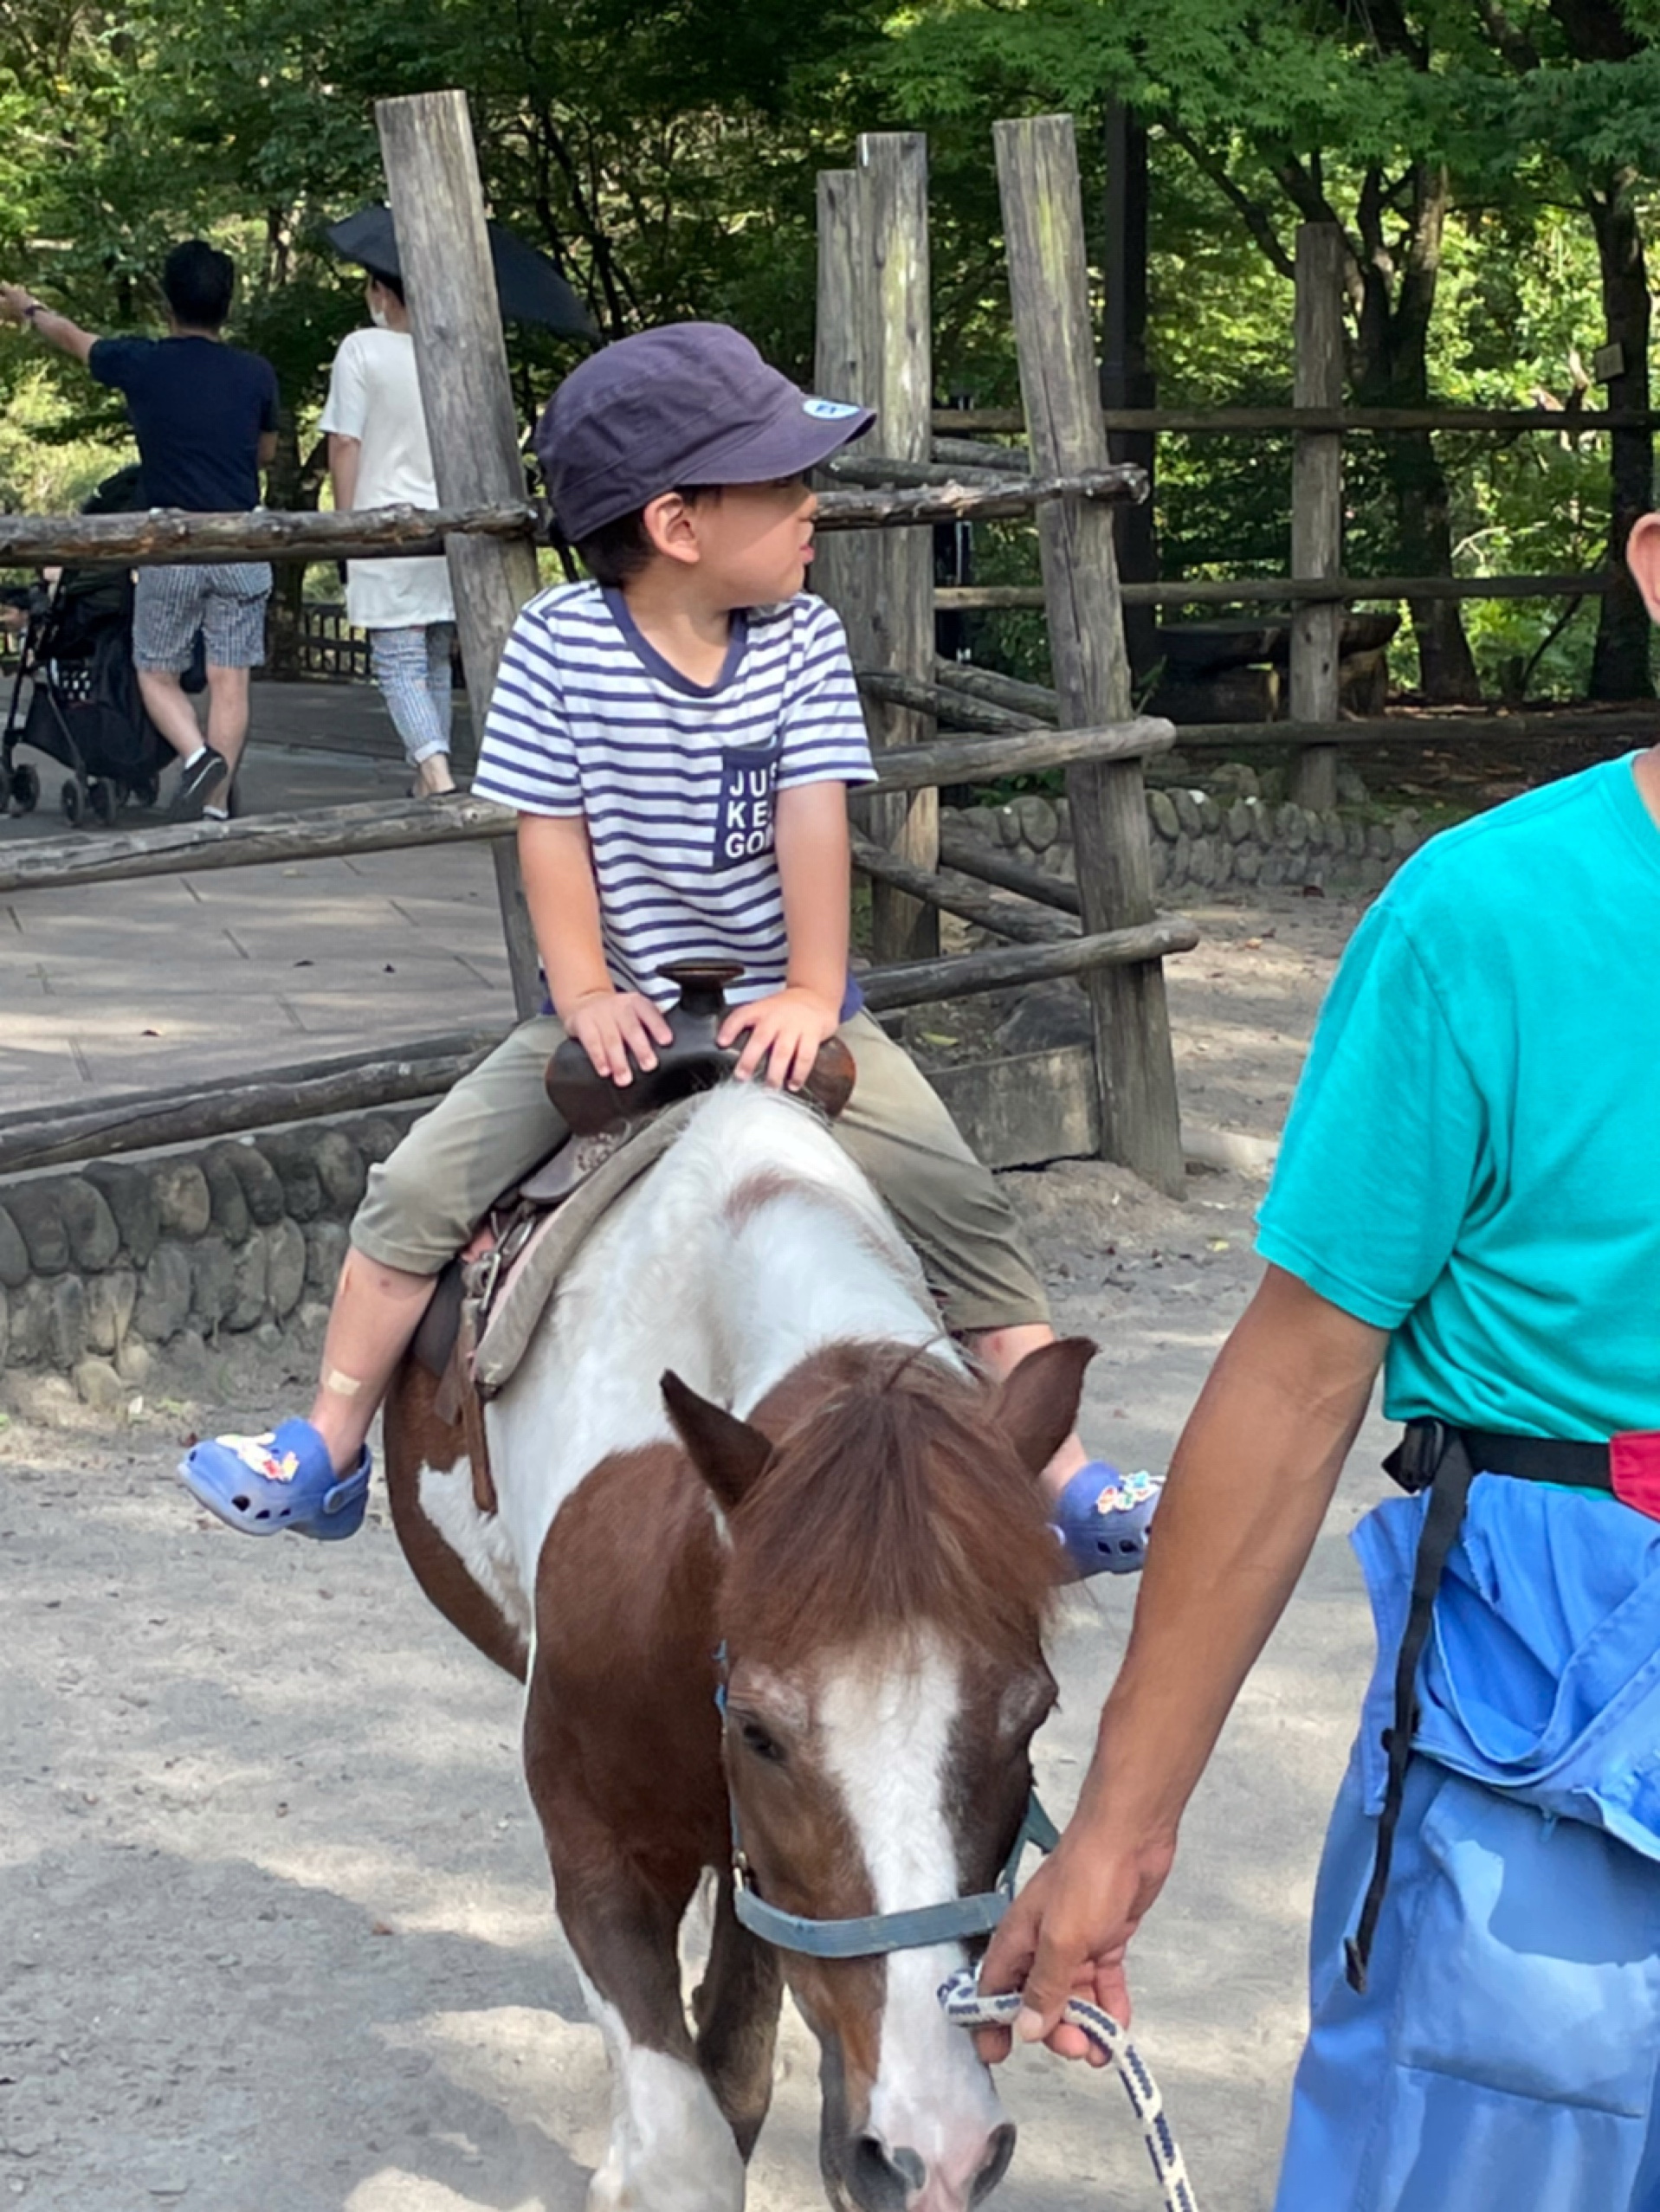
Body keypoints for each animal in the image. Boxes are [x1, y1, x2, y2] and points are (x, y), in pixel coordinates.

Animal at [383, 1077, 1092, 2212]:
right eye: (759, 1731)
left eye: (1032, 1714)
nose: (934, 2147)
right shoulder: (596, 1843)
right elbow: (687, 2145)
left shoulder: (758, 1873)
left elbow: (736, 2068)